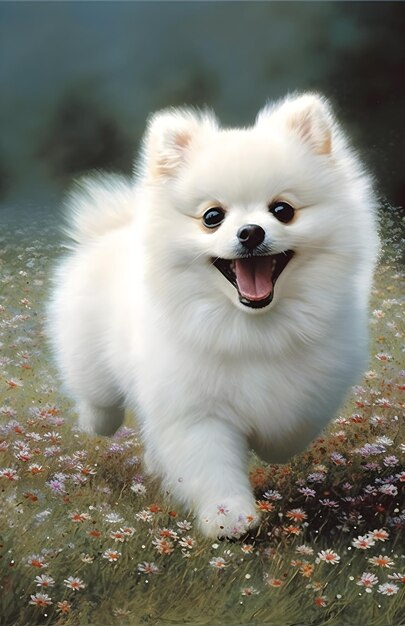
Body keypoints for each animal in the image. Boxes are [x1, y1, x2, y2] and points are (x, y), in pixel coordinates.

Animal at [48, 94, 378, 536]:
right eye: (212, 217)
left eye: (283, 210)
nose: (251, 232)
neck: (250, 326)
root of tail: (112, 230)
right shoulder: (194, 408)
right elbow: (210, 466)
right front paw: (230, 517)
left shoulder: (316, 384)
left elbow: (289, 428)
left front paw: (271, 450)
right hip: (88, 352)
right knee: (97, 395)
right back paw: (95, 421)